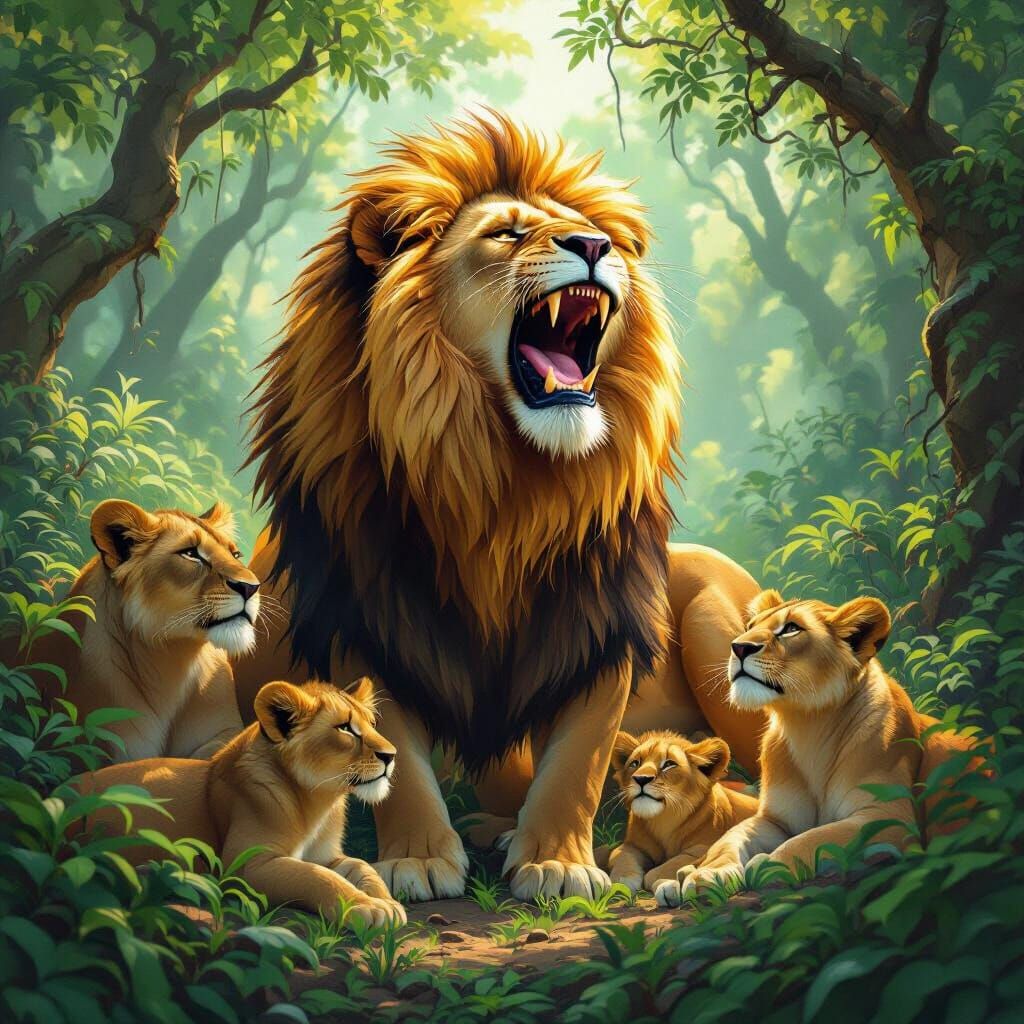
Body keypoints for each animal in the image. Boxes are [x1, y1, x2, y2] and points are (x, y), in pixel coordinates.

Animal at [75, 678, 405, 928]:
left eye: (372, 724)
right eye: (345, 728)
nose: (391, 755)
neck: (318, 801)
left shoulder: (326, 855)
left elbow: (361, 866)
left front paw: (388, 902)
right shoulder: (244, 865)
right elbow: (316, 876)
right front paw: (366, 907)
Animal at [605, 730, 758, 898]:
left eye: (669, 764)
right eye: (635, 763)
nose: (641, 778)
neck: (663, 819)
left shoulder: (704, 847)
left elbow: (661, 870)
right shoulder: (634, 845)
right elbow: (619, 854)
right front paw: (623, 879)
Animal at [656, 589, 984, 906]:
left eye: (791, 629)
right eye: (749, 626)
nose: (738, 647)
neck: (807, 726)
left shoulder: (889, 816)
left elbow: (816, 838)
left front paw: (768, 864)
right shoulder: (774, 820)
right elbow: (730, 839)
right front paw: (708, 874)